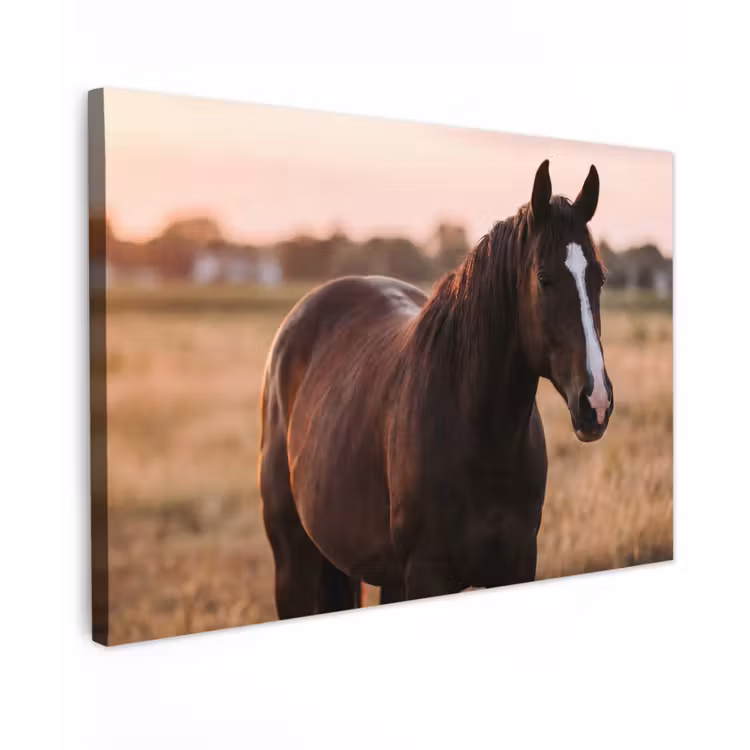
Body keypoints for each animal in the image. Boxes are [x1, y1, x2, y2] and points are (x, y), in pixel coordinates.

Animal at [258, 160, 614, 619]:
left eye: (599, 278)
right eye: (544, 278)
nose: (596, 401)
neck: (478, 436)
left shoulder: (517, 565)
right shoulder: (426, 574)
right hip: (293, 563)